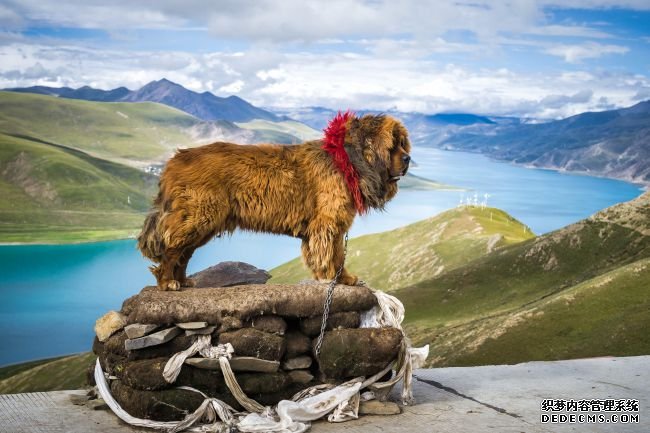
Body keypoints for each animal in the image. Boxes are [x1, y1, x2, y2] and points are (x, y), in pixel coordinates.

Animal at [137, 111, 410, 288]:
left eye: (403, 144)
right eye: (393, 145)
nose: (408, 159)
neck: (346, 160)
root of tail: (173, 162)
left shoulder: (328, 227)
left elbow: (334, 253)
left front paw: (340, 278)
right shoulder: (328, 223)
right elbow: (333, 254)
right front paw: (336, 278)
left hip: (204, 223)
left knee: (184, 253)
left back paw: (183, 280)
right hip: (199, 216)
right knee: (171, 249)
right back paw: (167, 282)